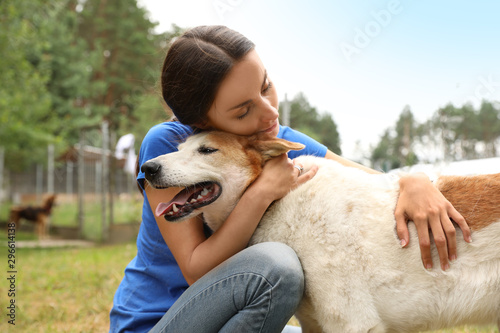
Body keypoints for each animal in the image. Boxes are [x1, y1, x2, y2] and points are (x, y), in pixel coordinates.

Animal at [141, 131, 500, 330]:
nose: (146, 167)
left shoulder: (353, 323)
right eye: (179, 148)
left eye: (206, 150)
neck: (275, 201)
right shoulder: (314, 324)